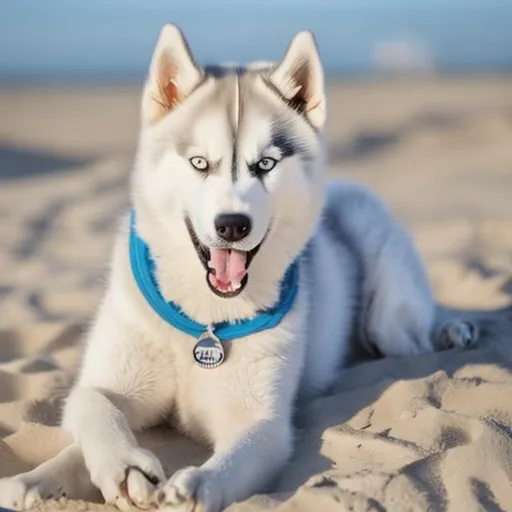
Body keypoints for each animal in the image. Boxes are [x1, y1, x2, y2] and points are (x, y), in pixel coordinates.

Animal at [2, 26, 478, 512]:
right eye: (199, 163)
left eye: (265, 163)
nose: (232, 225)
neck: (202, 322)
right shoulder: (111, 388)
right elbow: (92, 412)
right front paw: (91, 472)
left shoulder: (259, 422)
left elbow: (234, 461)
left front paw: (197, 486)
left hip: (388, 323)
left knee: (413, 335)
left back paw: (452, 330)